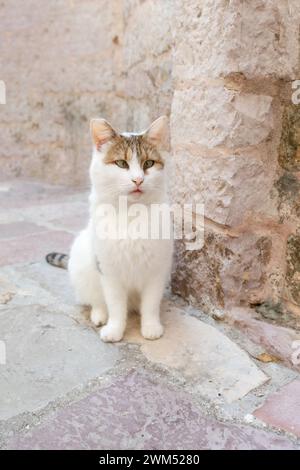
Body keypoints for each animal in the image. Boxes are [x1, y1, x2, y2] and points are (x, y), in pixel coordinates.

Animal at [47, 115, 173, 344]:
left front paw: (150, 327)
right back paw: (99, 316)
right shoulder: (109, 271)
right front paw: (114, 329)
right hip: (83, 264)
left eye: (148, 163)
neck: (131, 214)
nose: (138, 180)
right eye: (121, 163)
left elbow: (150, 304)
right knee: (96, 300)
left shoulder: (156, 270)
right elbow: (115, 306)